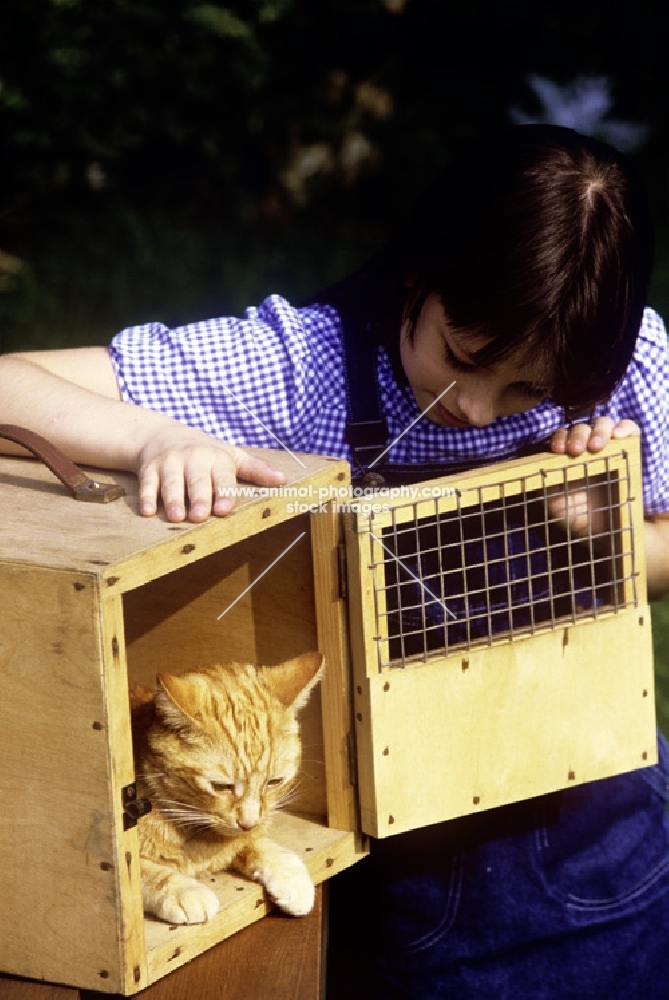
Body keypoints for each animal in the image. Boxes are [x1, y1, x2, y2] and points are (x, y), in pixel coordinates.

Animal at [129, 652, 324, 924]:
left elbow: (261, 844)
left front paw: (291, 875)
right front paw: (183, 890)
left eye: (273, 782)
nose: (248, 823)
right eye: (221, 786)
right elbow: (144, 873)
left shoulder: (246, 834)